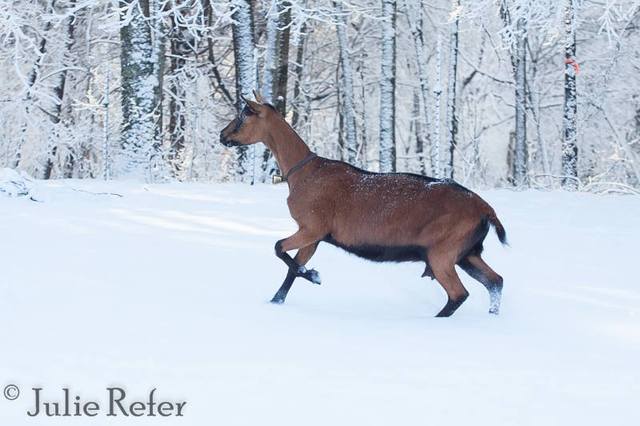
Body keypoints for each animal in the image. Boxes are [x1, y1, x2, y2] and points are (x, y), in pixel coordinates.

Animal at [222, 95, 508, 318]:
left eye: (243, 115)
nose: (222, 135)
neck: (302, 172)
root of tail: (486, 209)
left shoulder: (312, 227)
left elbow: (279, 248)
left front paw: (314, 276)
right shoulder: (315, 237)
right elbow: (292, 269)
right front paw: (277, 300)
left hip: (442, 253)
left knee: (459, 293)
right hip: (468, 252)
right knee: (495, 281)